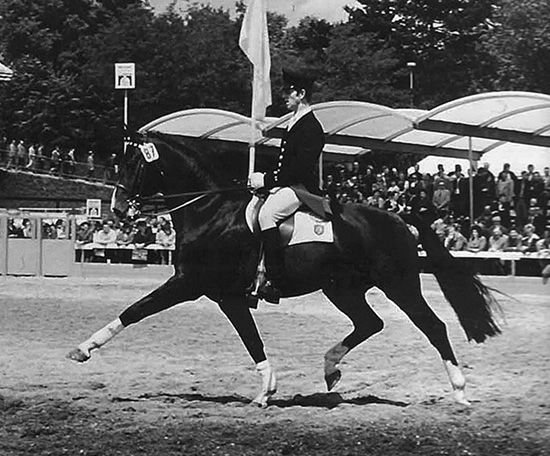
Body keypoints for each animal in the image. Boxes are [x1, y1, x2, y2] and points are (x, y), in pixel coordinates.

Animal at [67, 132, 501, 407]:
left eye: (133, 163)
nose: (118, 209)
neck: (210, 210)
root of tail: (397, 217)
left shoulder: (191, 284)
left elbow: (136, 311)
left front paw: (83, 349)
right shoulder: (225, 296)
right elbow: (251, 340)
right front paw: (267, 390)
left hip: (399, 284)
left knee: (433, 327)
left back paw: (460, 392)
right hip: (342, 289)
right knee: (369, 323)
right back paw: (330, 371)